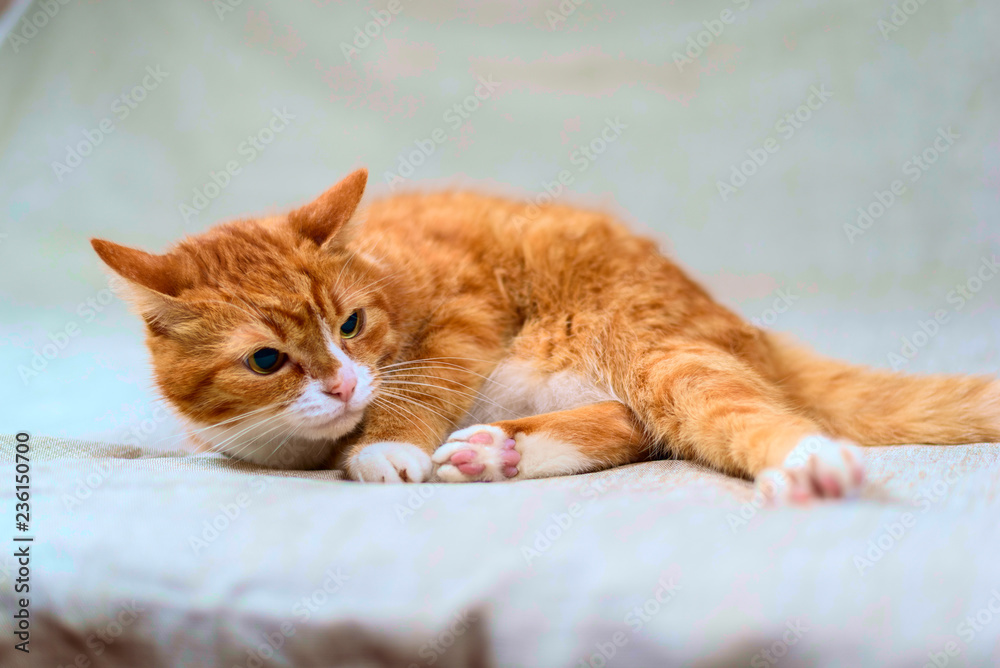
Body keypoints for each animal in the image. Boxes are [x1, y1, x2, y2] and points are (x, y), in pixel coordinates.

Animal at [90, 167, 996, 500]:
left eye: (351, 323)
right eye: (266, 359)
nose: (344, 383)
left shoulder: (461, 312)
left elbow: (419, 387)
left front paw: (386, 445)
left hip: (653, 348)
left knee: (716, 414)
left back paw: (810, 463)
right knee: (631, 424)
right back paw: (498, 452)